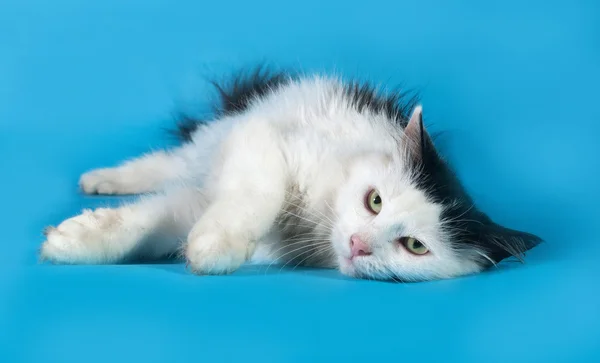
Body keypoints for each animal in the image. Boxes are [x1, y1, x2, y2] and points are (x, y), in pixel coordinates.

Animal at [39, 66, 540, 282]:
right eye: (374, 201)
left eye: (415, 247)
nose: (357, 244)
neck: (315, 224)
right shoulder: (262, 139)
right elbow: (259, 193)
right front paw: (216, 245)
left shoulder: (199, 202)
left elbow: (151, 220)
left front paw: (74, 242)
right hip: (218, 138)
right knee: (166, 161)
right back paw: (98, 179)